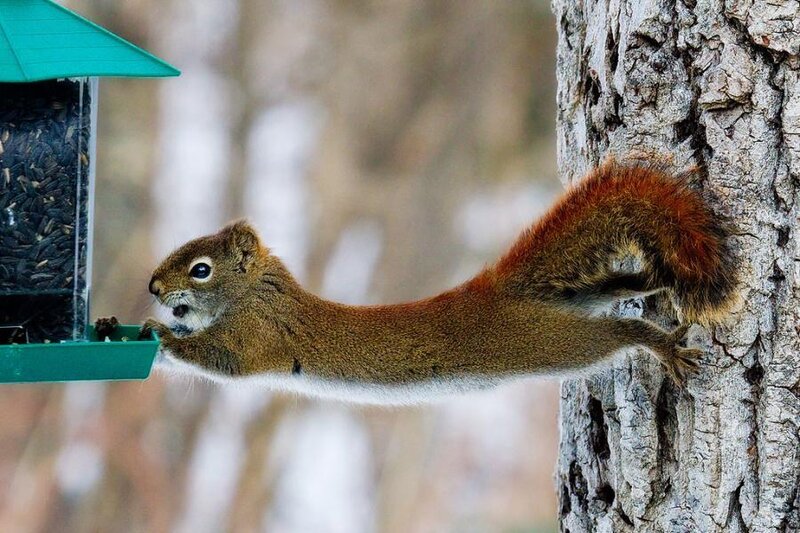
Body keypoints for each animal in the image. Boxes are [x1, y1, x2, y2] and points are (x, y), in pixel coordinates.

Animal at [142, 160, 737, 405]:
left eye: (200, 269)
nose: (152, 288)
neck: (255, 293)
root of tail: (501, 290)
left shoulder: (258, 335)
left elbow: (221, 360)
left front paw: (163, 335)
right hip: (568, 304)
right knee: (607, 292)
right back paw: (641, 283)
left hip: (545, 341)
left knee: (612, 337)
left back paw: (659, 346)